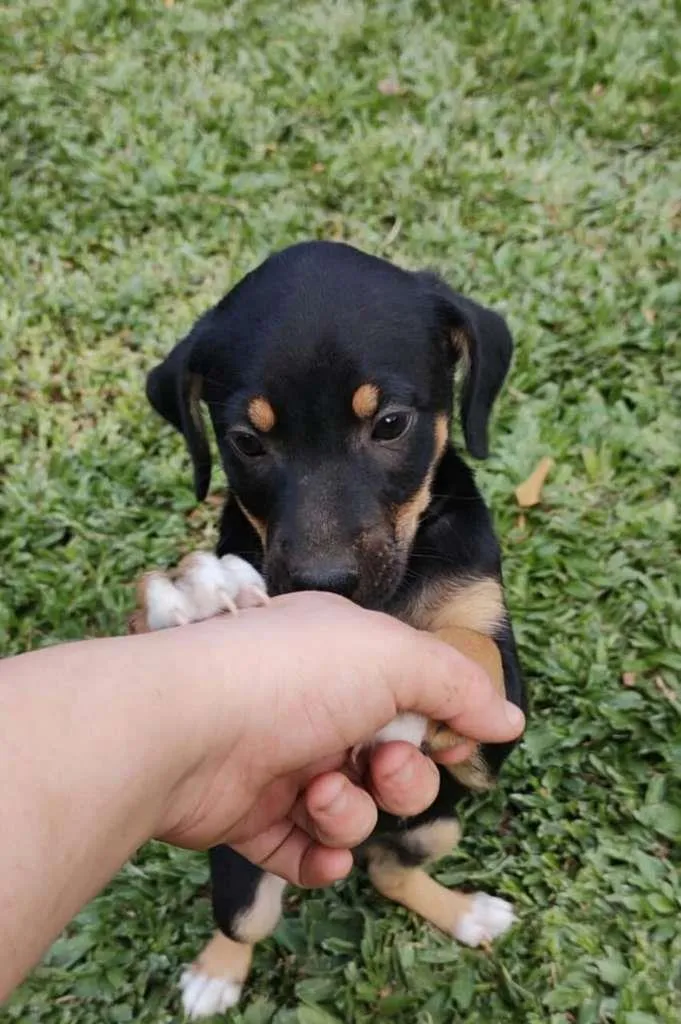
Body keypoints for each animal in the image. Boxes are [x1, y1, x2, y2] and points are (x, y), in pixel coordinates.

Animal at [134, 239, 524, 1015]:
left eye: (391, 424)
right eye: (246, 441)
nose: (323, 585)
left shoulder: (495, 732)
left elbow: (466, 649)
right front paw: (203, 600)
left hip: (437, 822)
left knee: (388, 872)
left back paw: (467, 914)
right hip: (239, 861)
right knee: (247, 920)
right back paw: (213, 976)